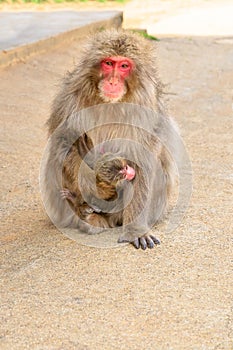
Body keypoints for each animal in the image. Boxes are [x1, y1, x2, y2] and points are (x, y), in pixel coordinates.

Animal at [42, 29, 178, 249]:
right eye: (108, 63)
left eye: (123, 66)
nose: (113, 81)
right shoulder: (70, 98)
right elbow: (64, 143)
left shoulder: (147, 107)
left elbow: (142, 156)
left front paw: (136, 230)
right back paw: (86, 213)